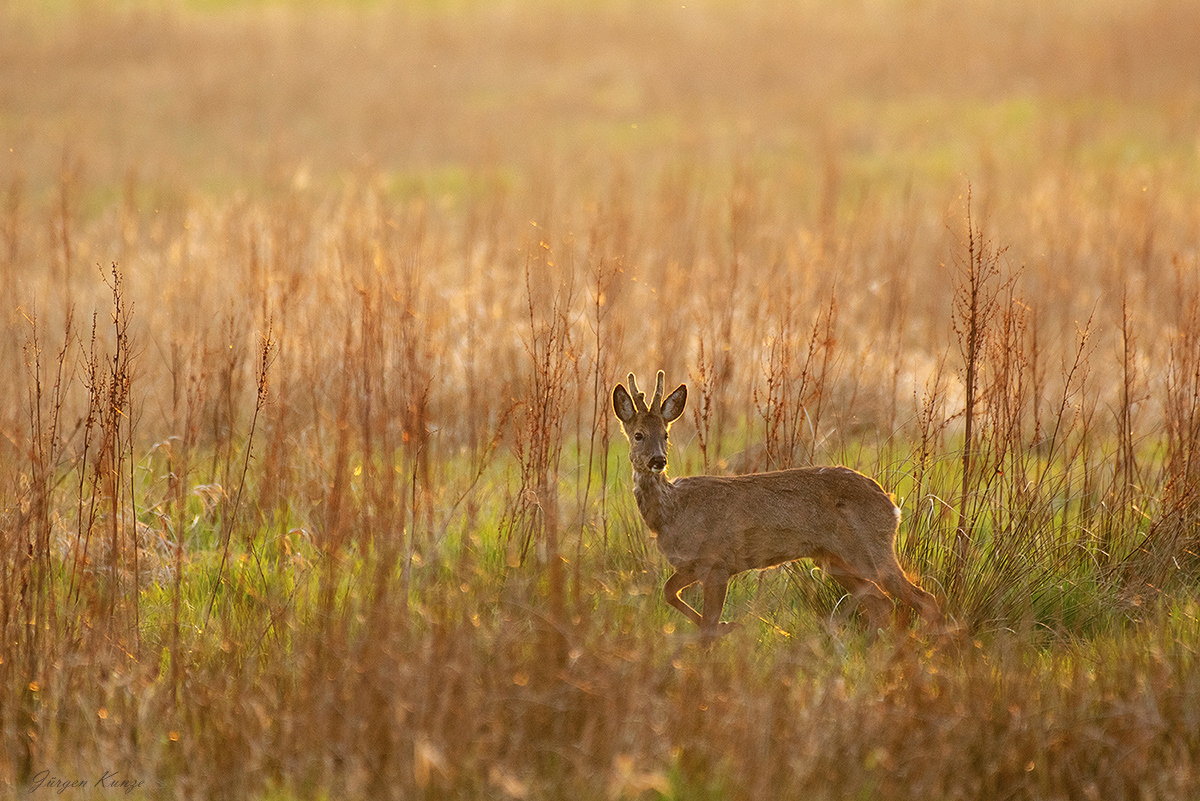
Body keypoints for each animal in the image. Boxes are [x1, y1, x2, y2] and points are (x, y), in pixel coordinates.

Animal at [614, 371, 940, 637]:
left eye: (666, 434)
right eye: (638, 435)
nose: (658, 460)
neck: (672, 511)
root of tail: (892, 505)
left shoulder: (717, 562)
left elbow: (705, 626)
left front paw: (721, 633)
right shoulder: (691, 566)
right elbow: (668, 592)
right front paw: (728, 626)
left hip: (870, 549)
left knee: (923, 599)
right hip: (835, 561)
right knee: (880, 603)